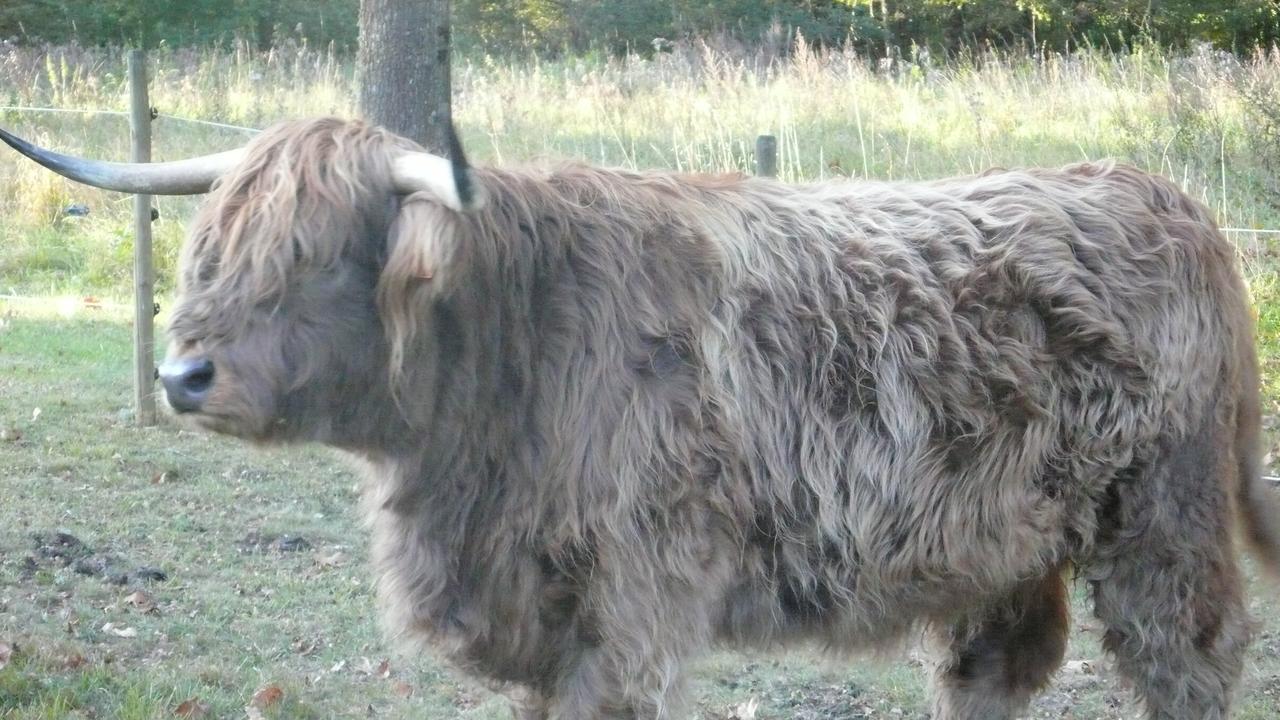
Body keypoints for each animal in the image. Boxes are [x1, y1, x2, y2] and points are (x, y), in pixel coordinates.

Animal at [2, 119, 1280, 717]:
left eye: (314, 253)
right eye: (212, 243)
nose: (183, 374)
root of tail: (1165, 198)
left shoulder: (635, 605)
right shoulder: (540, 613)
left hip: (1161, 517)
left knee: (1185, 656)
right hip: (1002, 539)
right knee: (995, 666)